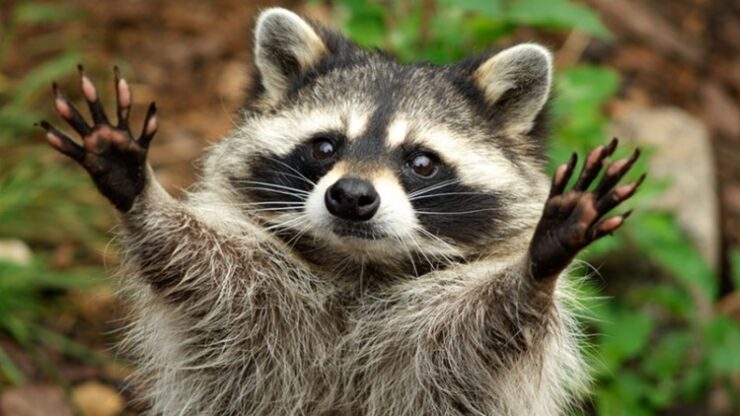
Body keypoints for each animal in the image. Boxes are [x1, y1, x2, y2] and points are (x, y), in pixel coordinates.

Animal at [41, 7, 644, 416]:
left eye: (421, 162)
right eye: (325, 147)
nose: (351, 196)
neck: (359, 265)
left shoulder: (450, 352)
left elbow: (495, 327)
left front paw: (539, 265)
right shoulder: (249, 300)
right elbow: (192, 265)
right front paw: (142, 195)